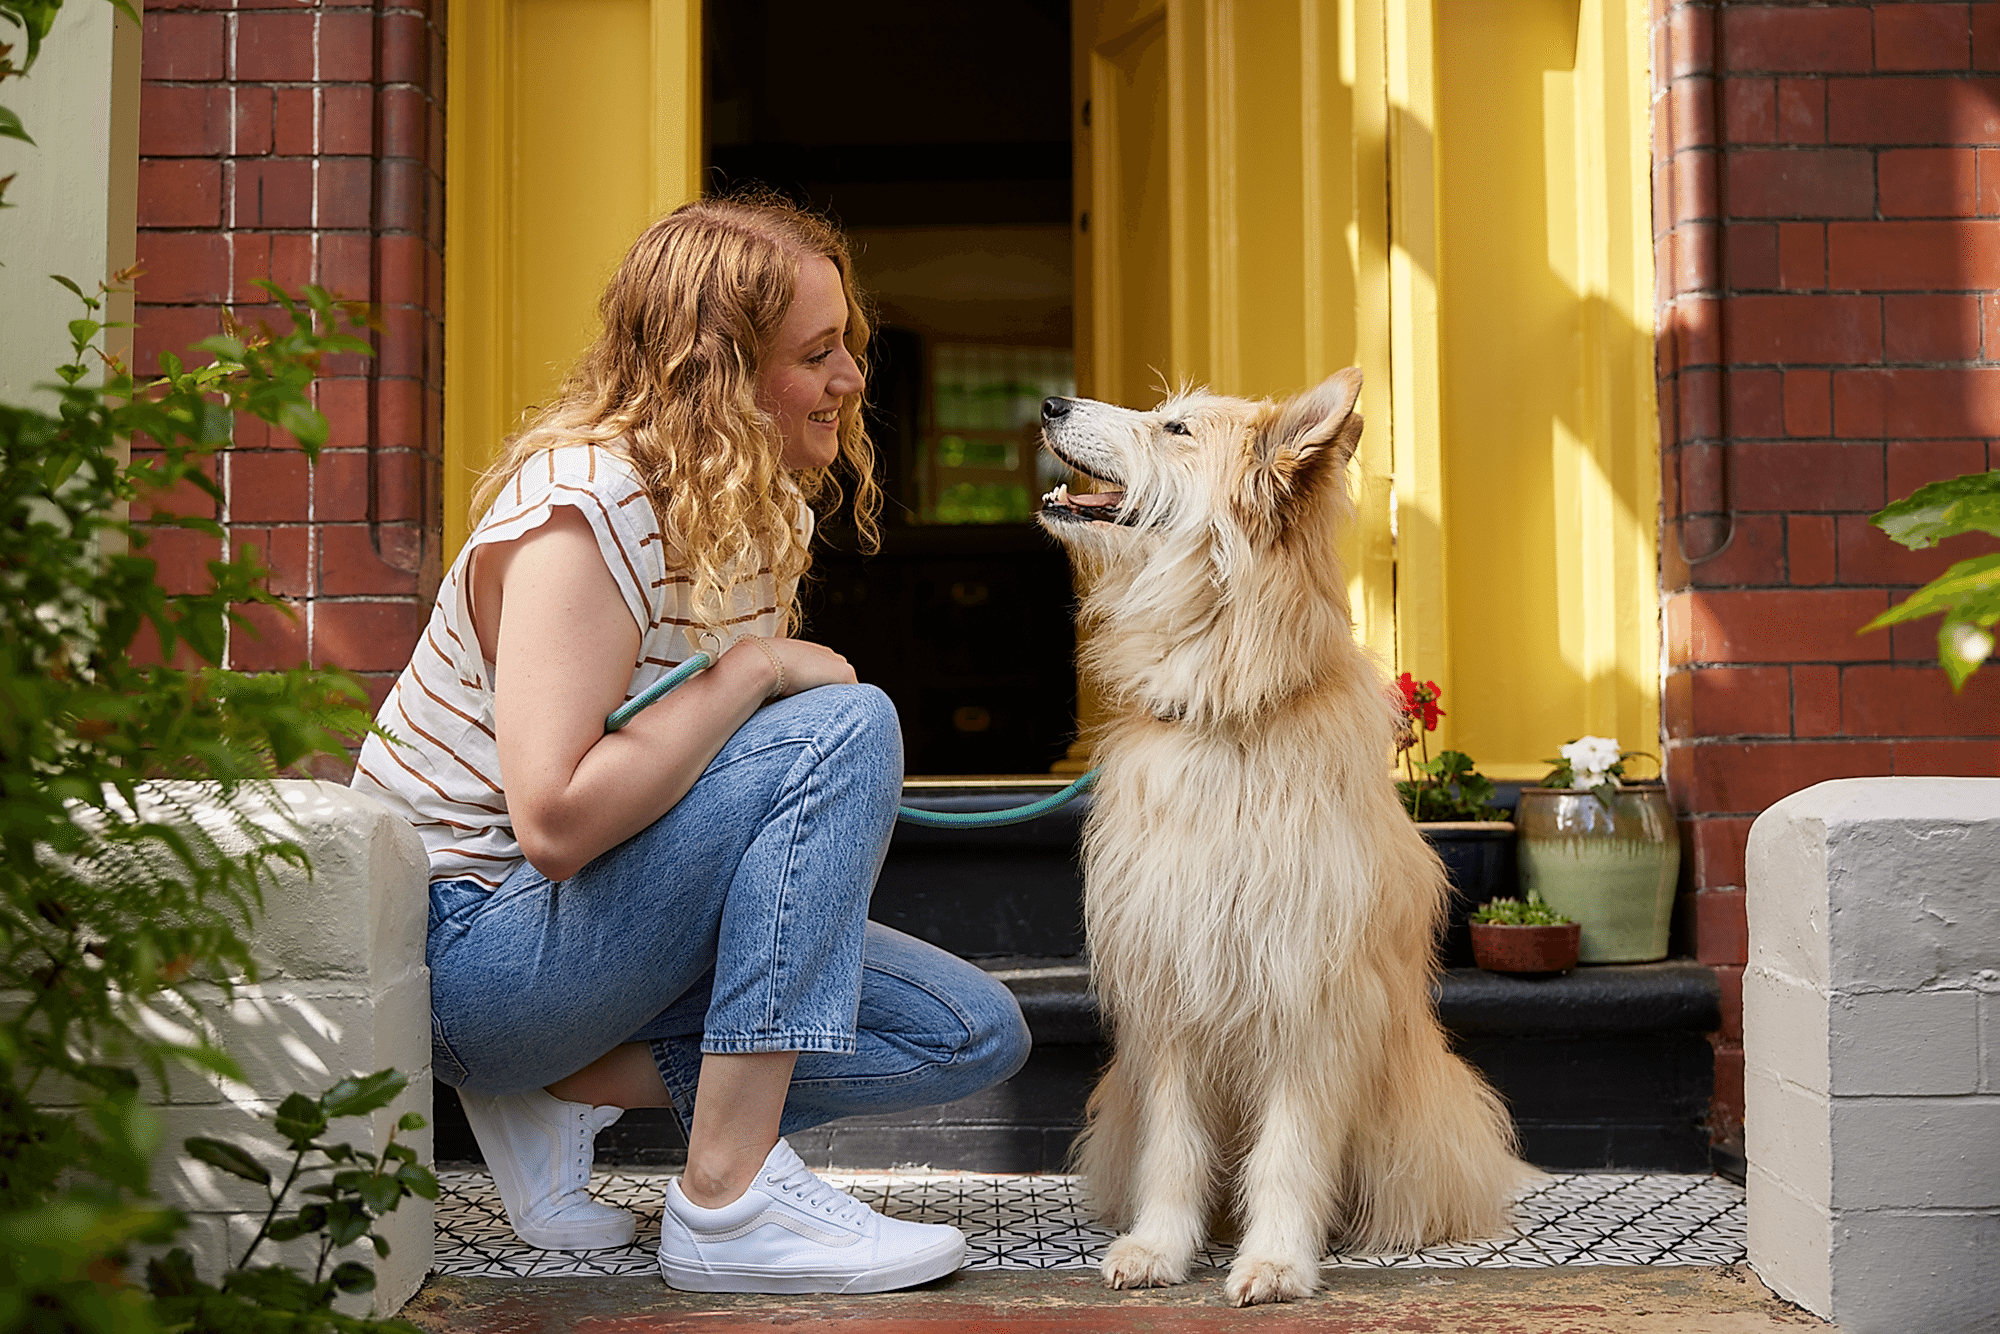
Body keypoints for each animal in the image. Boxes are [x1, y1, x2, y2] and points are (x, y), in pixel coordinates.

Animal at [1040, 370, 1520, 1312]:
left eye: (1176, 429)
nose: (1048, 406)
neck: (1224, 709)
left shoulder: (1309, 993)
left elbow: (1291, 1153)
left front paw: (1277, 1260)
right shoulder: (1174, 986)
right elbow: (1175, 1149)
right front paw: (1160, 1246)